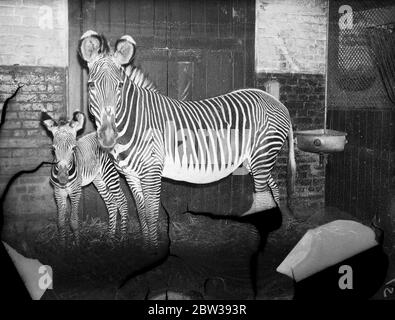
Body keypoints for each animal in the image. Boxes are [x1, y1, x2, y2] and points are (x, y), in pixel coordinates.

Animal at [42, 111, 128, 244]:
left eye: (73, 148)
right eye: (53, 148)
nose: (62, 178)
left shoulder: (75, 191)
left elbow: (73, 222)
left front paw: (77, 245)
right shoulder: (58, 192)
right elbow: (60, 222)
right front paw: (62, 246)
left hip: (110, 174)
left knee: (122, 203)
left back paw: (122, 240)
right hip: (99, 179)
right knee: (112, 204)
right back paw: (110, 238)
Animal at [78, 31, 296, 254]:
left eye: (120, 86)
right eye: (91, 85)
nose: (107, 137)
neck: (133, 122)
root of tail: (275, 100)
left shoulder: (152, 172)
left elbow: (151, 214)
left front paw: (154, 250)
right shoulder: (131, 175)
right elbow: (141, 214)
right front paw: (145, 248)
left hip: (262, 156)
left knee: (262, 198)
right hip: (256, 160)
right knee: (272, 190)